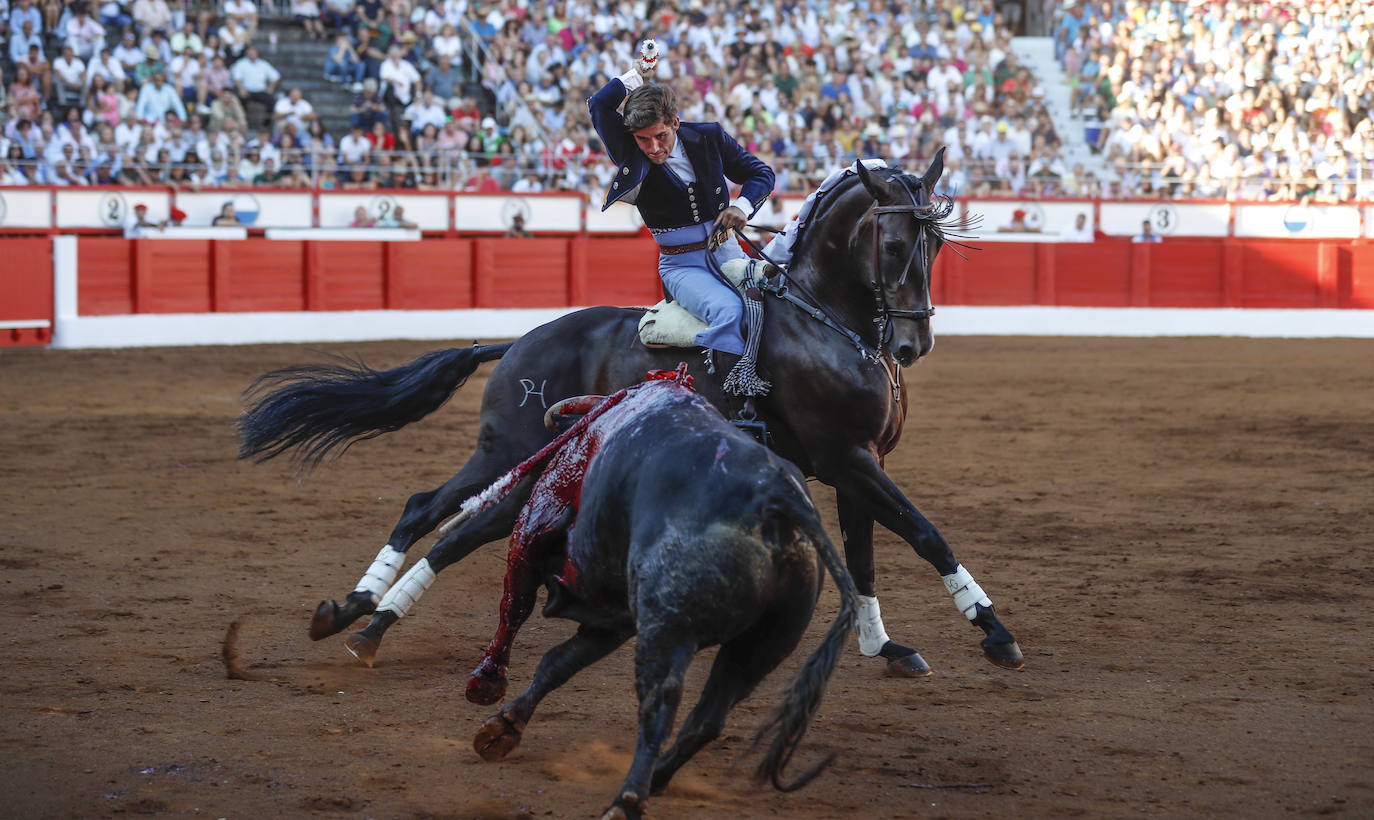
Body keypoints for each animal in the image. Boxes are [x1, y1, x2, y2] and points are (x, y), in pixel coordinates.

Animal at [241, 151, 1027, 670]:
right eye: (891, 243)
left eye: (937, 244)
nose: (911, 343)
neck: (824, 317)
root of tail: (517, 341)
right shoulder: (847, 459)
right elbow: (926, 534)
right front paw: (994, 632)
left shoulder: (860, 463)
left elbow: (865, 558)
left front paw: (884, 645)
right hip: (503, 450)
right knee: (427, 508)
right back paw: (362, 613)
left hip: (530, 463)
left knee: (450, 520)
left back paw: (359, 612)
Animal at [467, 373, 862, 818]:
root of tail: (778, 498)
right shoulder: (616, 617)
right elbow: (558, 663)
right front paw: (505, 725)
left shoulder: (533, 529)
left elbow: (515, 609)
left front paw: (486, 683)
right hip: (763, 643)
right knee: (710, 715)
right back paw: (656, 778)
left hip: (668, 629)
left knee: (660, 702)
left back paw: (627, 798)